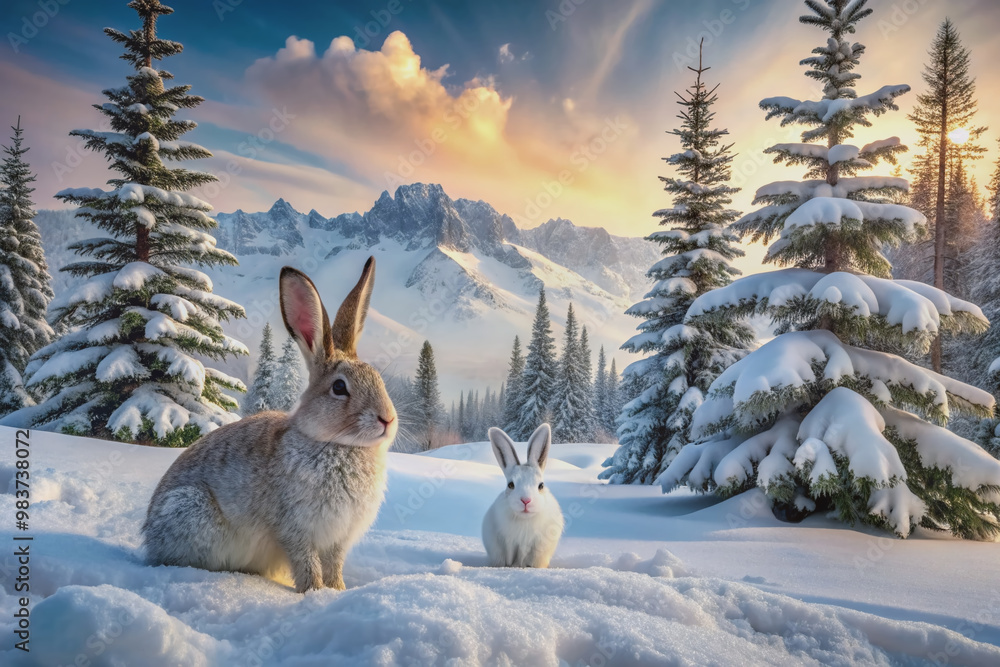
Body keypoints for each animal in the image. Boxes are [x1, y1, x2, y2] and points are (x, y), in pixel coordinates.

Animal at [142, 257, 397, 593]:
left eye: (378, 379)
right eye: (339, 387)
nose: (387, 419)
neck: (337, 444)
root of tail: (149, 534)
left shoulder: (337, 540)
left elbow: (334, 565)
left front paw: (338, 591)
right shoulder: (296, 530)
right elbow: (307, 564)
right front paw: (314, 592)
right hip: (188, 509)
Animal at [482, 423, 564, 568]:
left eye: (541, 485)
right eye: (510, 485)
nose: (526, 500)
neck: (524, 519)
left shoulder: (534, 545)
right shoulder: (508, 542)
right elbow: (509, 556)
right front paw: (509, 566)